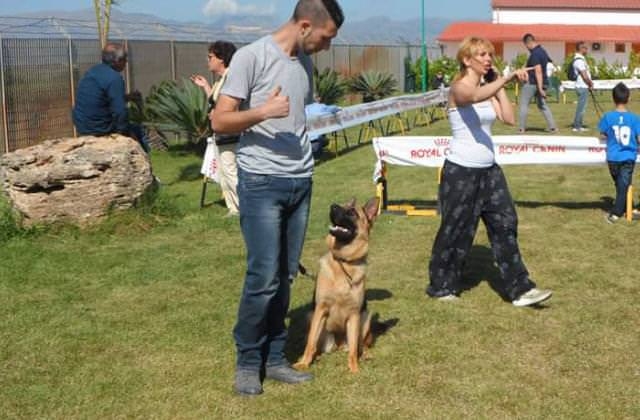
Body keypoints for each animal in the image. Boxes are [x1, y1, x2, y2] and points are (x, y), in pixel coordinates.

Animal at [296, 195, 380, 372]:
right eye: (342, 205)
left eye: (352, 212)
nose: (332, 206)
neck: (344, 261)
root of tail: (340, 343)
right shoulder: (320, 309)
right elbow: (311, 343)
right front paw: (304, 363)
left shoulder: (354, 314)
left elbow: (354, 349)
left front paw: (354, 369)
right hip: (312, 318)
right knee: (319, 345)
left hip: (365, 318)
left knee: (360, 345)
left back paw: (365, 354)